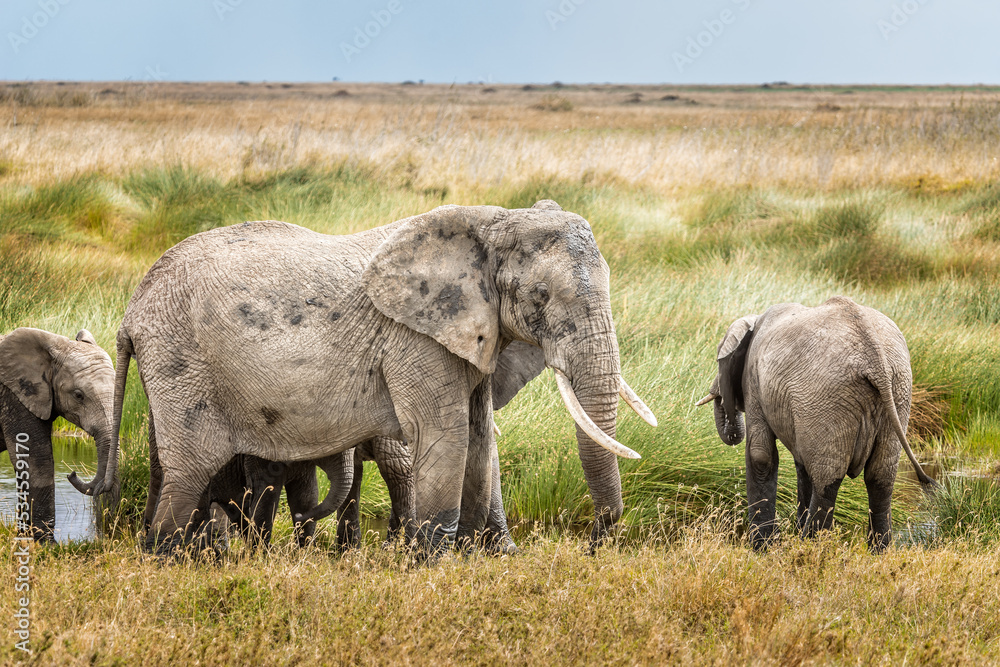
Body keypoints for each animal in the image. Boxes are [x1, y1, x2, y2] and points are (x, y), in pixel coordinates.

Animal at [0, 328, 116, 542]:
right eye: (78, 395)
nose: (72, 473)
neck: (56, 344)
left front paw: (26, 537)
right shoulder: (14, 396)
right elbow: (37, 459)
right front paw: (45, 542)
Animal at [98, 200, 656, 556]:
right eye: (541, 296)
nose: (592, 546)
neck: (492, 223)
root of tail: (132, 312)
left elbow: (480, 439)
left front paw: (482, 559)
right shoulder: (415, 338)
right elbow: (446, 434)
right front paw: (431, 564)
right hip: (180, 360)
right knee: (190, 469)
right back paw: (167, 560)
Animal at [695, 296, 937, 553]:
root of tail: (876, 358)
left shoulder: (754, 381)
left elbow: (760, 455)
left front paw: (762, 549)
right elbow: (801, 463)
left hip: (829, 395)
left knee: (827, 480)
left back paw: (810, 549)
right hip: (898, 390)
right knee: (879, 478)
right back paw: (877, 553)